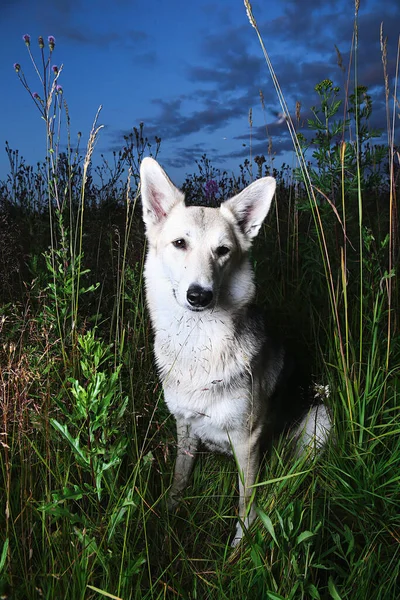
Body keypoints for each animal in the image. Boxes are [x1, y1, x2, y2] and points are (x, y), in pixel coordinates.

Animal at [139, 157, 330, 548]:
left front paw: (240, 548)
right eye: (179, 243)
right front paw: (168, 513)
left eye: (223, 250)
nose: (200, 296)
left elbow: (245, 502)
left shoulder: (248, 441)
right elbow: (179, 477)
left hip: (320, 419)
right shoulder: (184, 426)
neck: (199, 343)